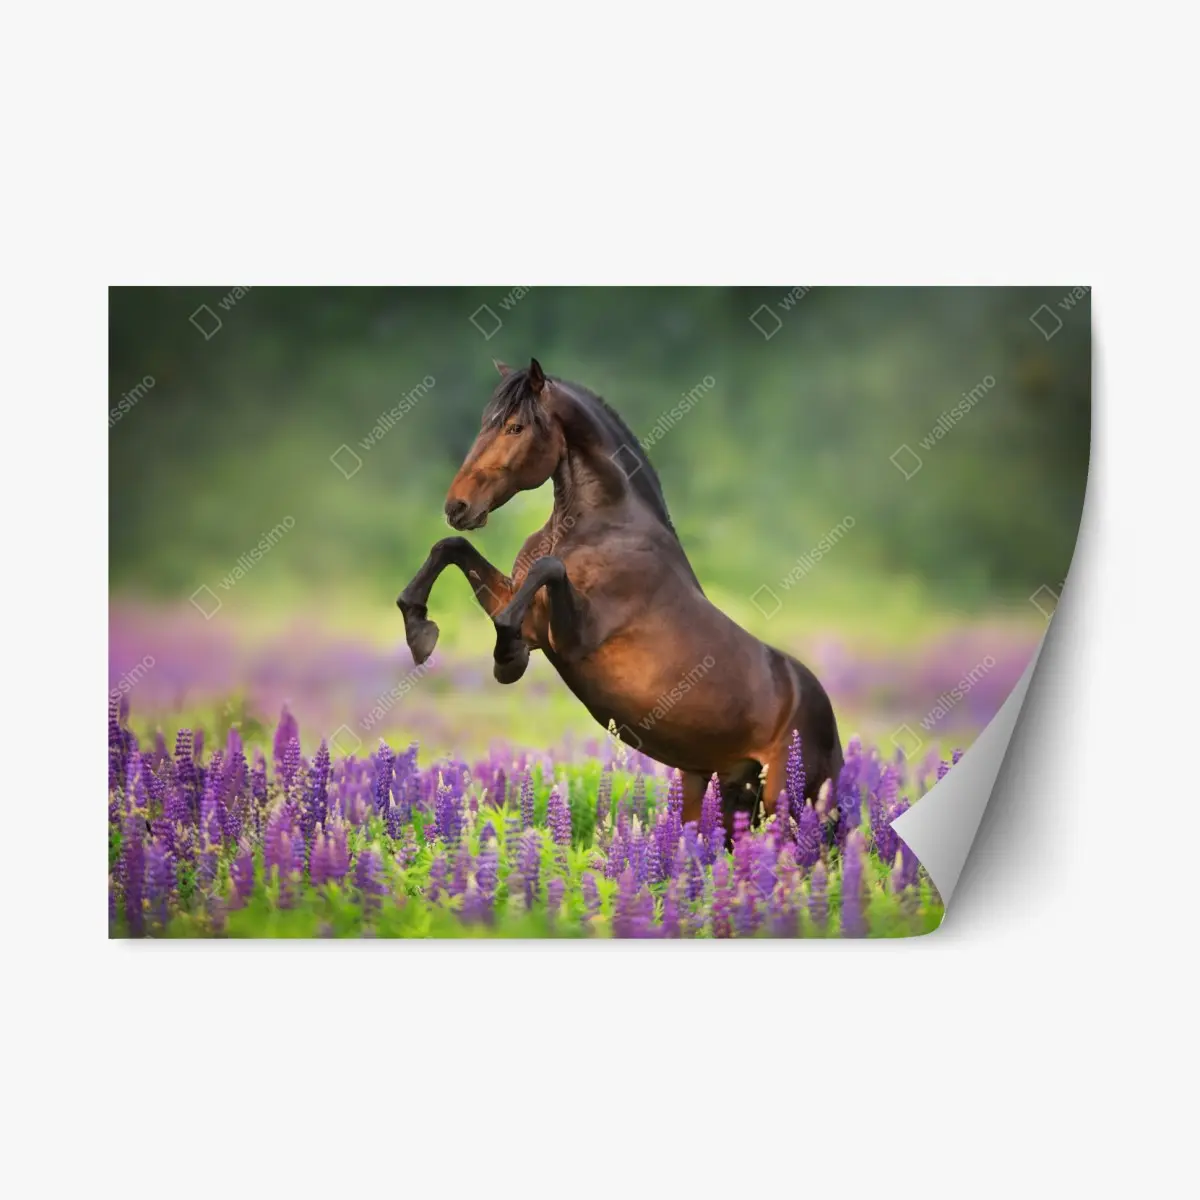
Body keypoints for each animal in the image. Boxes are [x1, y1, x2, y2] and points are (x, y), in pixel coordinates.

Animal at [396, 358, 843, 837]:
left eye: (515, 427)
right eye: (486, 422)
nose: (457, 506)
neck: (604, 524)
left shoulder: (571, 637)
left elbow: (546, 569)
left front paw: (506, 658)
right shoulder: (526, 614)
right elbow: (451, 548)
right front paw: (420, 630)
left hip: (788, 803)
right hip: (718, 790)